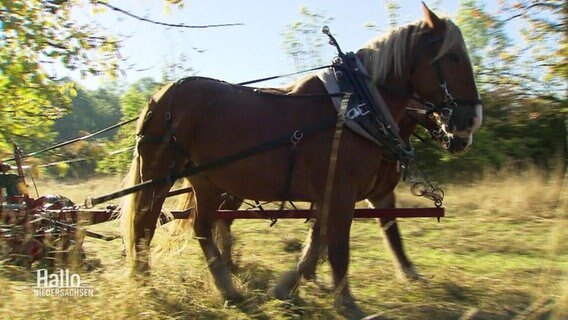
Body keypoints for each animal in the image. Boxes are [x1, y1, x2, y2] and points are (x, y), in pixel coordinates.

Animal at [122, 4, 482, 318]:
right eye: (452, 57)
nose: (470, 122)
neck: (359, 108)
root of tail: (160, 96)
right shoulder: (341, 193)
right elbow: (338, 248)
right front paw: (347, 304)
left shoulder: (337, 193)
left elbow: (324, 241)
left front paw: (287, 287)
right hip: (159, 176)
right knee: (144, 226)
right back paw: (145, 282)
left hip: (207, 181)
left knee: (202, 228)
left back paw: (226, 287)